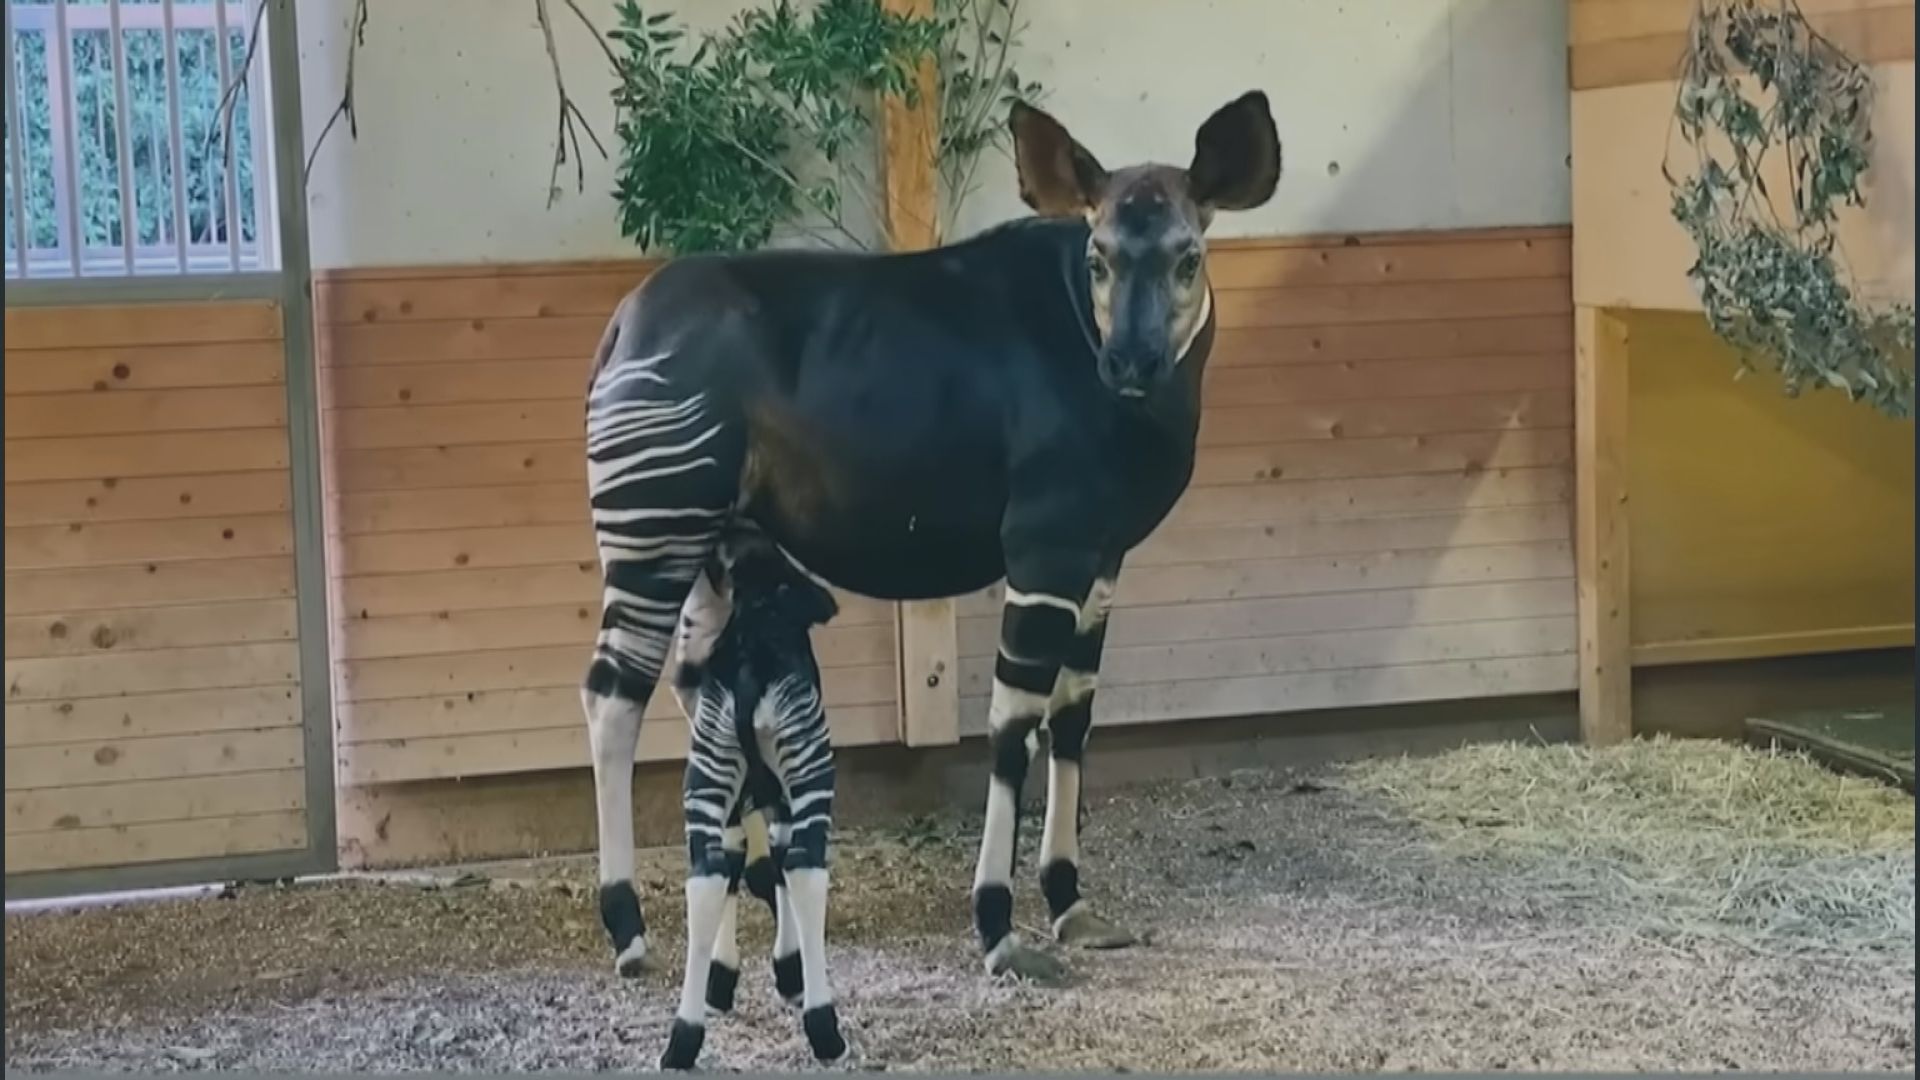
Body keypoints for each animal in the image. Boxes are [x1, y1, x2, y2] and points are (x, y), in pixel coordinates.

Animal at [576, 88, 1282, 980]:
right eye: (1098, 259)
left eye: (1188, 258)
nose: (1129, 363)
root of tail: (623, 327)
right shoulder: (1044, 547)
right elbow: (1013, 728)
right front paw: (999, 925)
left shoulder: (1100, 556)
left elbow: (1073, 716)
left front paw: (1070, 902)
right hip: (656, 528)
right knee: (613, 695)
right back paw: (628, 927)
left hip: (710, 546)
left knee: (697, 683)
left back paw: (759, 886)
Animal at [664, 526, 844, 1060]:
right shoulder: (782, 787)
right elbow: (781, 862)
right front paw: (790, 972)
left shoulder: (736, 784)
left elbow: (740, 861)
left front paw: (723, 981)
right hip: (810, 762)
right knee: (806, 866)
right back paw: (826, 1030)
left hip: (706, 769)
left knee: (705, 874)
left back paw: (683, 1038)